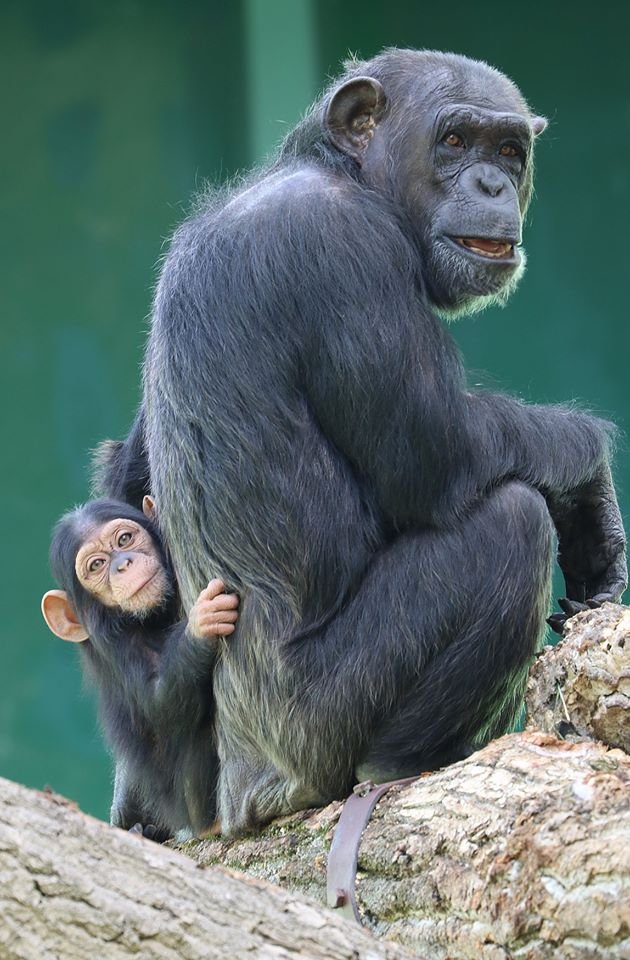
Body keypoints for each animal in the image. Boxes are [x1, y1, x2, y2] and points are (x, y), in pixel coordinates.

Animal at [41, 502, 239, 840]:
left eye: (124, 539)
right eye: (96, 565)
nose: (123, 564)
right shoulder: (119, 647)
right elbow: (161, 705)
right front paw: (200, 627)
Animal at [113, 48, 628, 836]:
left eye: (509, 151)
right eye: (455, 141)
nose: (491, 182)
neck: (345, 176)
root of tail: (246, 795)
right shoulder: (345, 250)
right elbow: (437, 453)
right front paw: (590, 490)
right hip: (321, 718)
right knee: (509, 521)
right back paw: (402, 766)